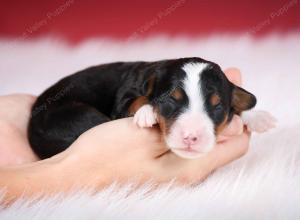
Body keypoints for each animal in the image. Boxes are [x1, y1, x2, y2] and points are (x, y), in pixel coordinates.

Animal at [27, 57, 276, 159]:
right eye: (170, 100)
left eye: (217, 107)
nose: (191, 137)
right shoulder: (124, 98)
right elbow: (136, 100)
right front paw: (147, 111)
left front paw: (258, 116)